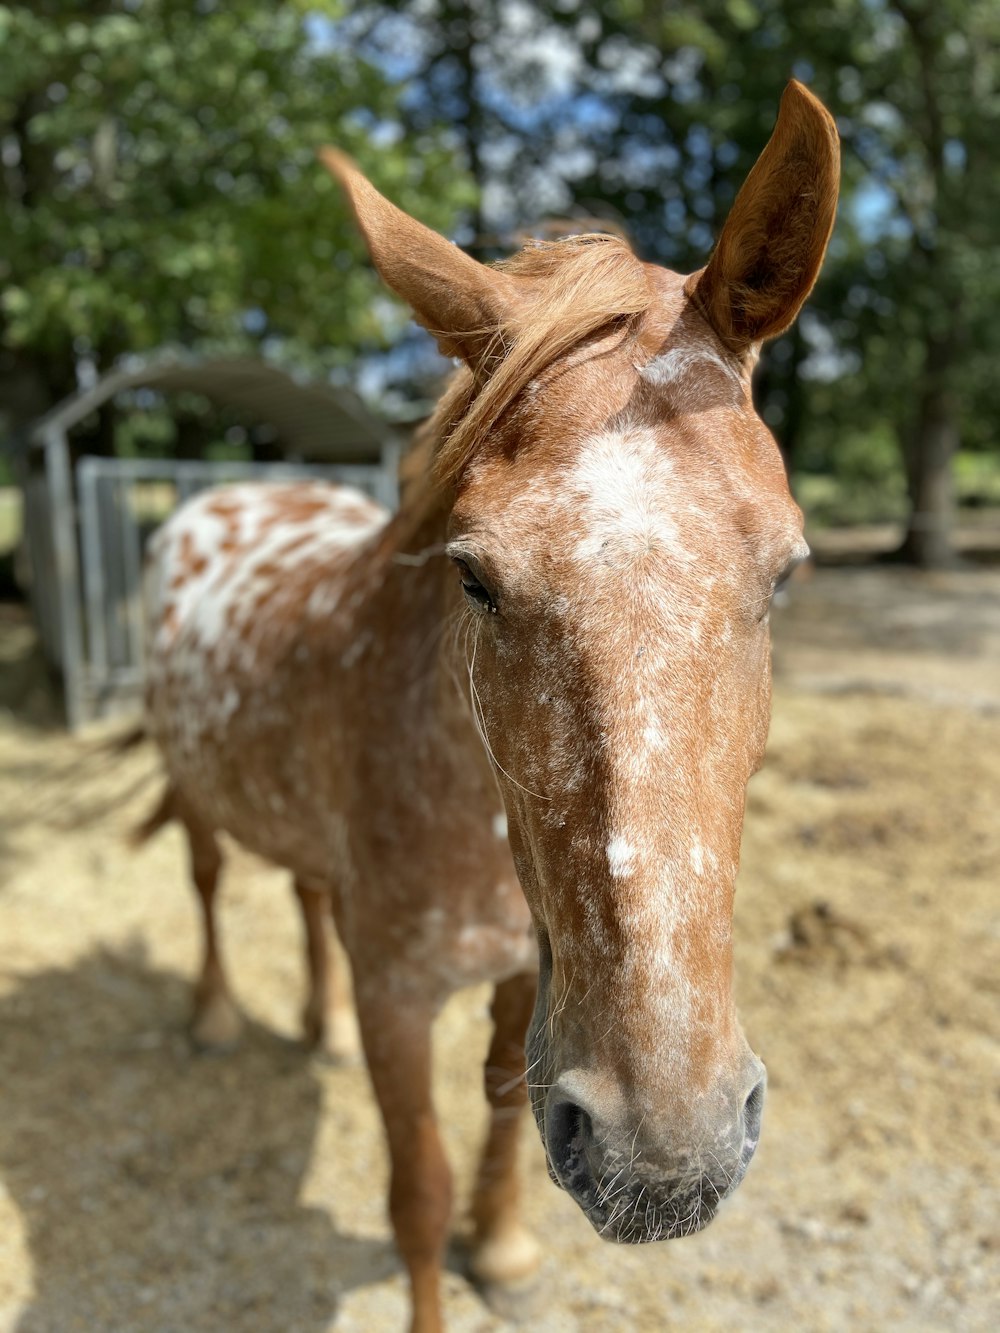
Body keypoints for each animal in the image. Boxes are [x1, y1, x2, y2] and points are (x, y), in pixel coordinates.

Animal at [139, 83, 837, 1333]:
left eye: (787, 571)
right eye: (473, 577)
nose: (667, 1159)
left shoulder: (525, 974)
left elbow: (508, 1117)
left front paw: (503, 1249)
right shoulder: (400, 994)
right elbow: (416, 1189)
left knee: (304, 891)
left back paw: (311, 1027)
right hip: (195, 785)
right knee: (212, 880)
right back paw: (216, 1018)